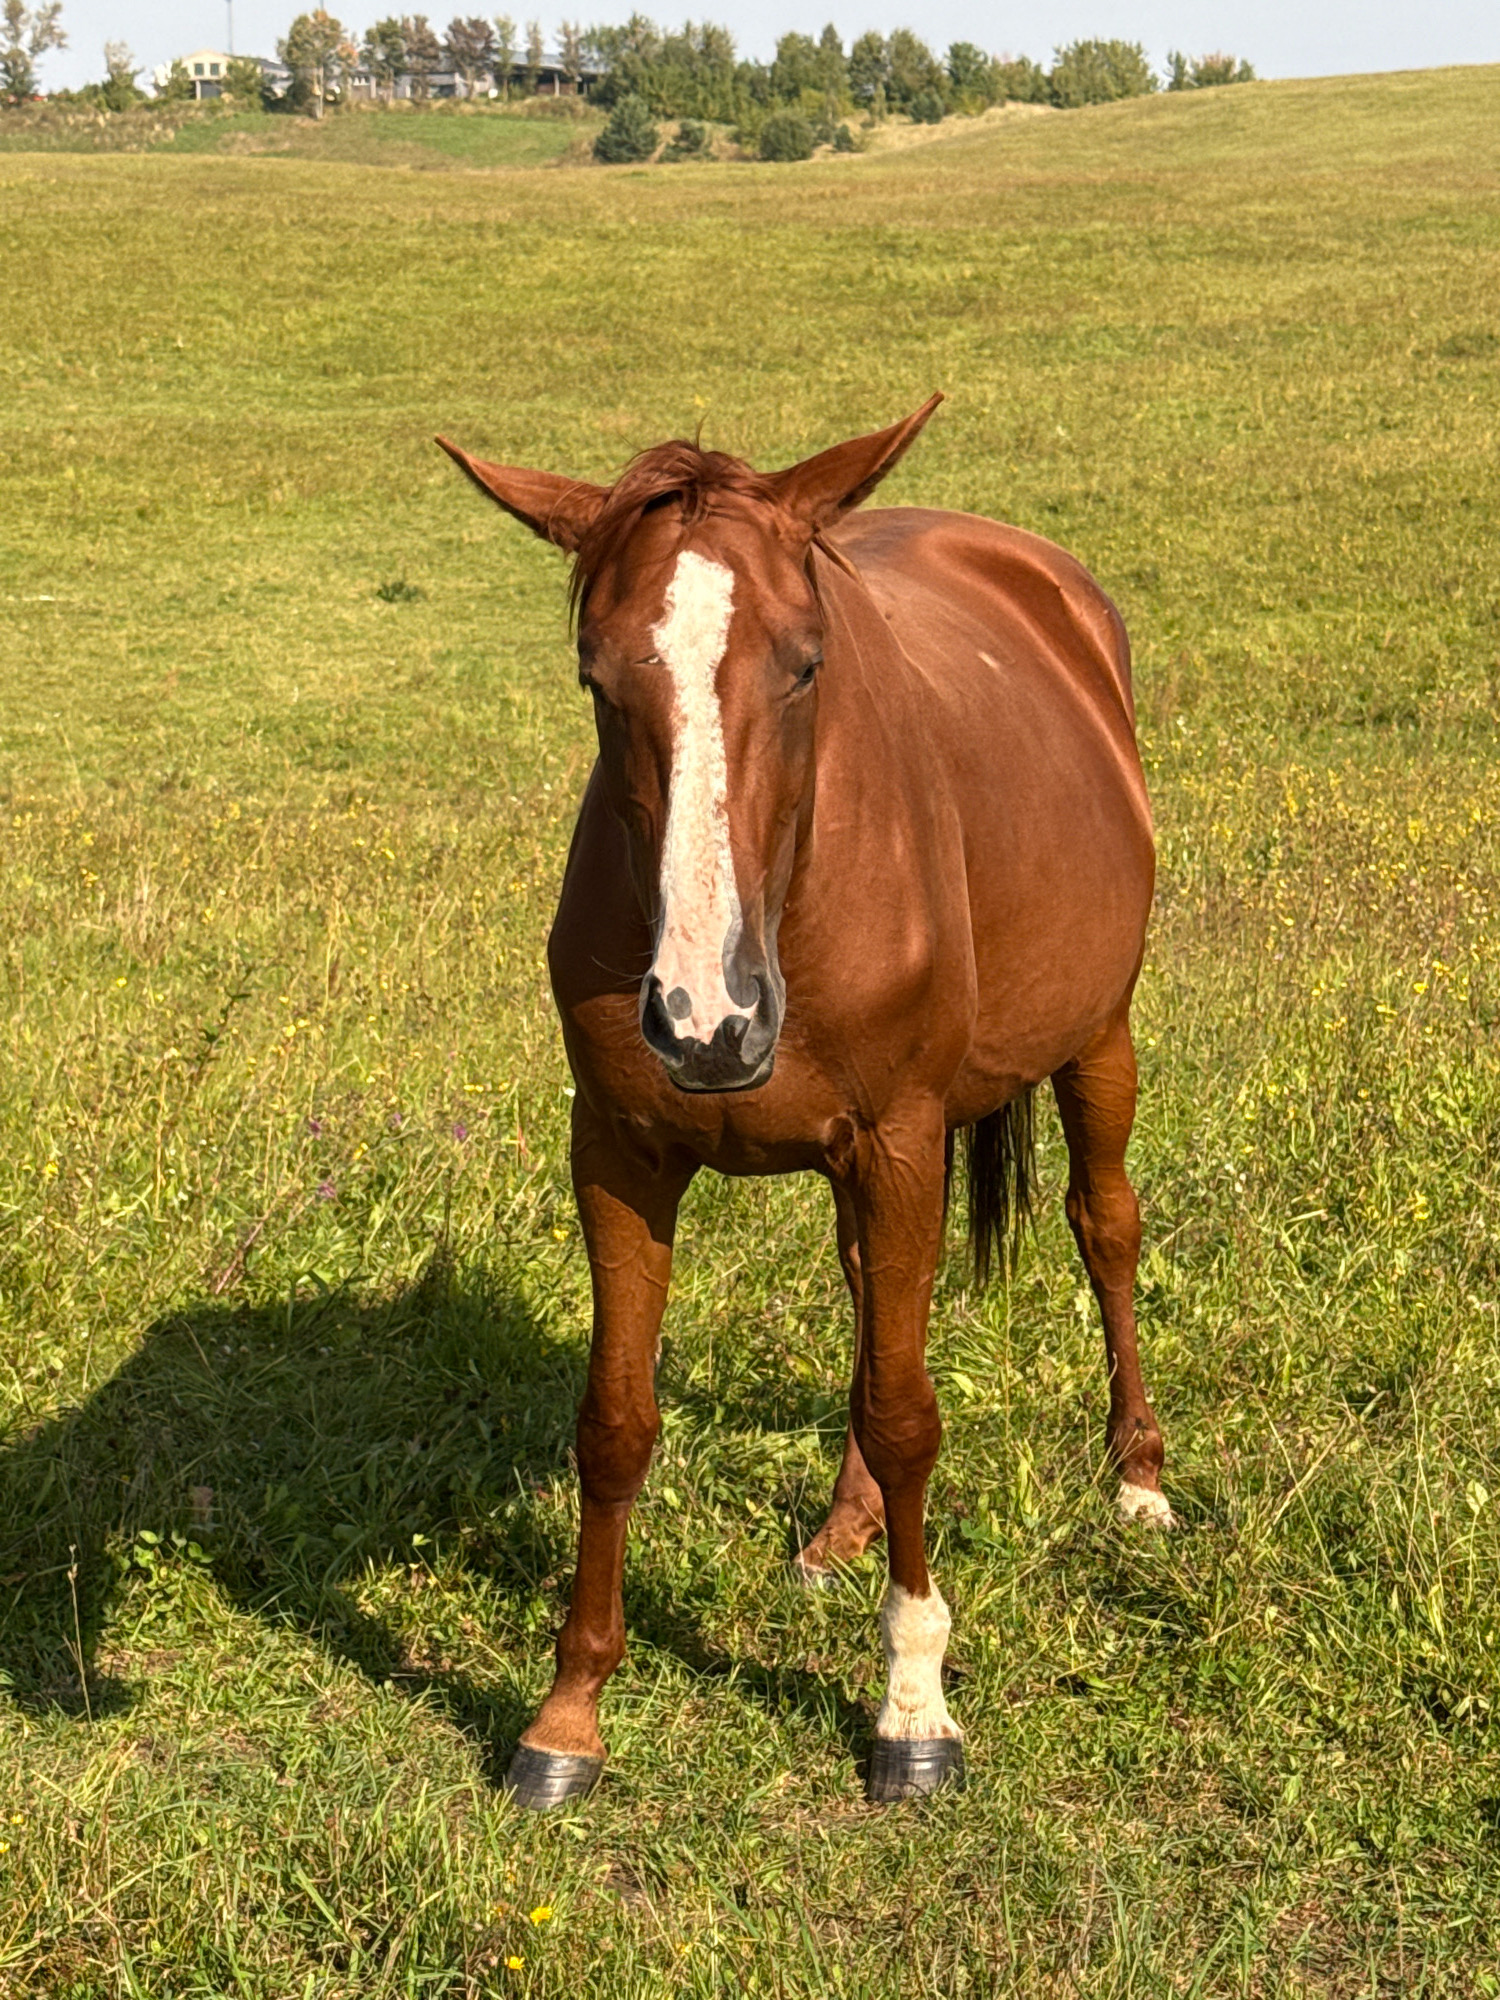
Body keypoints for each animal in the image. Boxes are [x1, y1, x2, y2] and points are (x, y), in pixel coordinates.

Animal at [438, 396, 1170, 1808]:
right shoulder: (619, 1152)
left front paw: (914, 1706)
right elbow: (618, 1421)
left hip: (1094, 1038)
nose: (708, 1018)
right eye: (597, 679)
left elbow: (907, 1409)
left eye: (808, 664)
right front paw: (567, 1713)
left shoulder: (900, 1140)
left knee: (1104, 1227)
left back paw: (1140, 1476)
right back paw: (842, 1525)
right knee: (871, 1298)